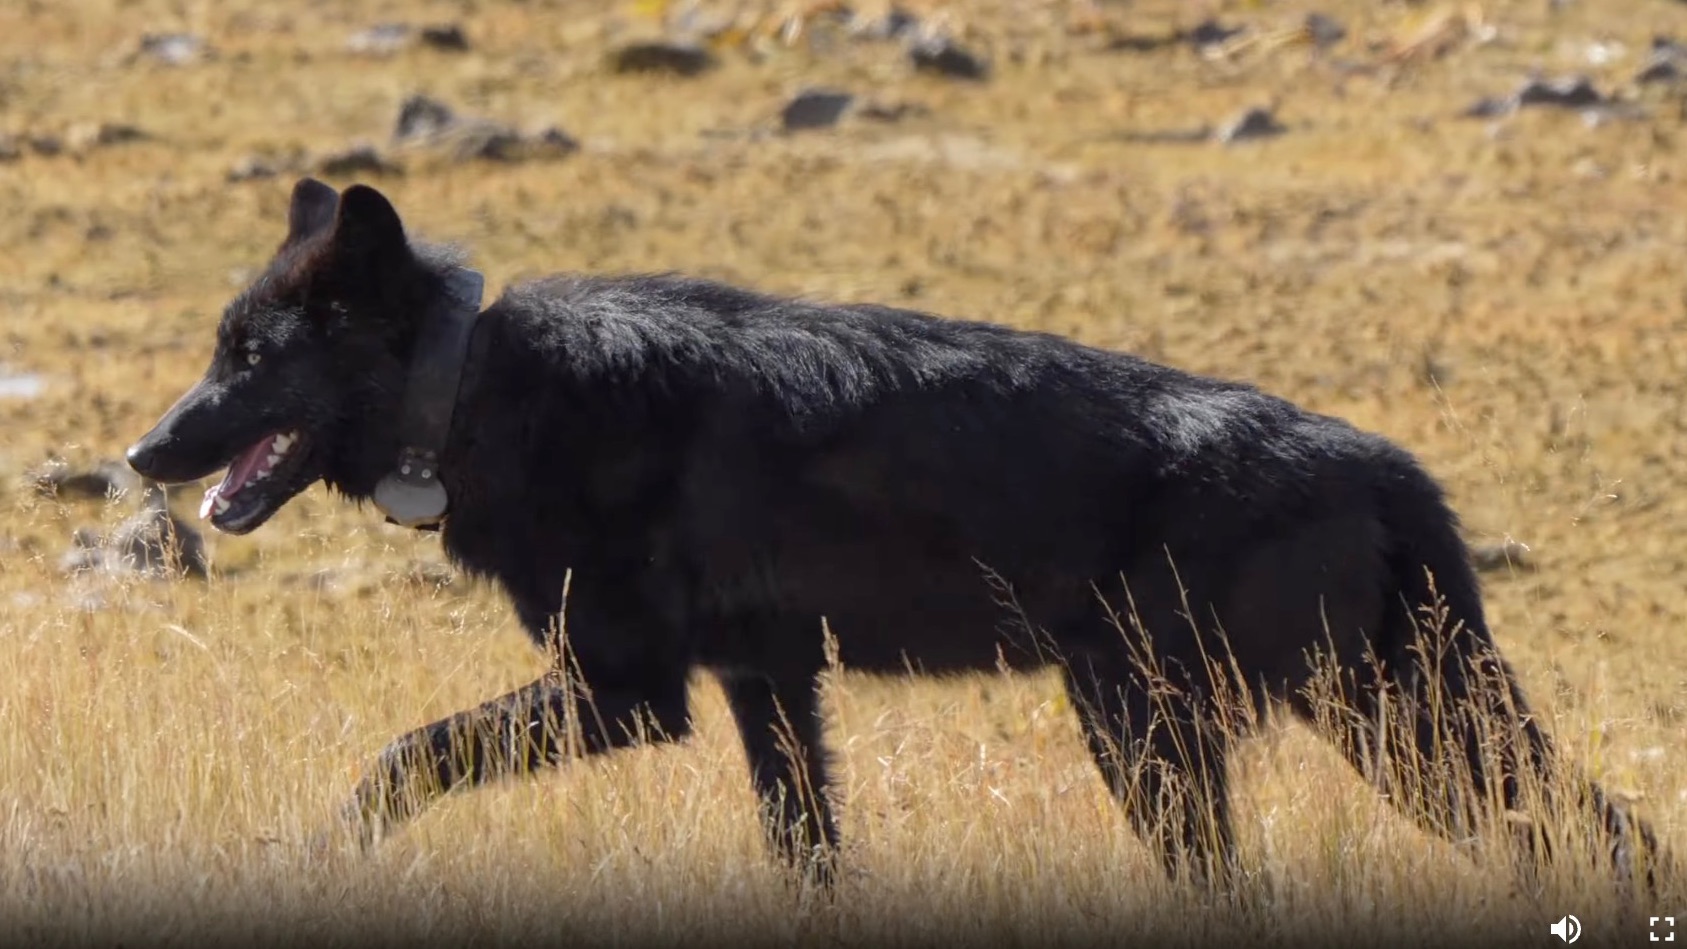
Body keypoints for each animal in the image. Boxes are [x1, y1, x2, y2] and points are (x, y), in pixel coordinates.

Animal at [128, 178, 1660, 896]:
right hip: (1383, 723)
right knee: (1605, 832)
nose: (143, 453)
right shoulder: (765, 688)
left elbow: (392, 761)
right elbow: (804, 851)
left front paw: (327, 857)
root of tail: (1393, 467)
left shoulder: (629, 695)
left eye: (248, 361)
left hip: (1229, 730)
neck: (486, 389)